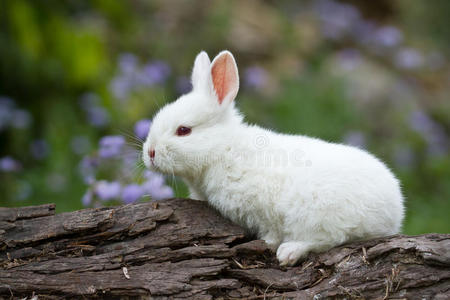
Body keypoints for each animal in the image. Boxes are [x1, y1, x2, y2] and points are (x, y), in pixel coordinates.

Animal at [143, 50, 404, 266]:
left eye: (183, 130)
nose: (150, 153)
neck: (223, 149)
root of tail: (394, 210)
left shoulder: (263, 208)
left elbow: (272, 230)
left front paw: (267, 243)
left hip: (319, 214)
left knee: (329, 237)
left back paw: (289, 252)